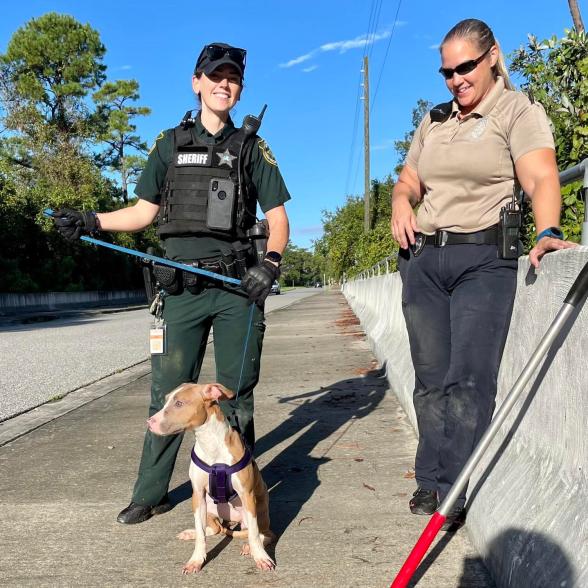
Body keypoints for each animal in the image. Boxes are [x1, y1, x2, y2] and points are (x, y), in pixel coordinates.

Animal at [147, 382, 276, 576]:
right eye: (166, 400)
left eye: (179, 403)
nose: (149, 422)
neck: (209, 442)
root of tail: (234, 521)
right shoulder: (198, 495)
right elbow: (201, 534)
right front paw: (196, 560)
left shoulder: (247, 494)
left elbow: (254, 534)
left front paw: (261, 557)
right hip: (207, 508)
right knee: (215, 529)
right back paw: (190, 533)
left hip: (257, 510)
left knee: (262, 533)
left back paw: (250, 547)